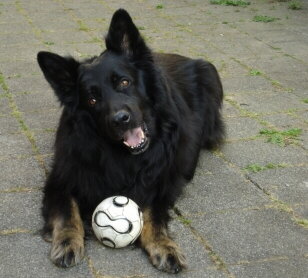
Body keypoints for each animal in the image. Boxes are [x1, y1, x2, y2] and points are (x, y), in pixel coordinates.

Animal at [37, 8, 224, 274]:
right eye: (92, 99)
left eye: (124, 82)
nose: (121, 120)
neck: (122, 156)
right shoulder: (60, 178)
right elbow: (66, 211)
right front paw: (67, 240)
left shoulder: (161, 182)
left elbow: (153, 215)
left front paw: (164, 245)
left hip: (210, 76)